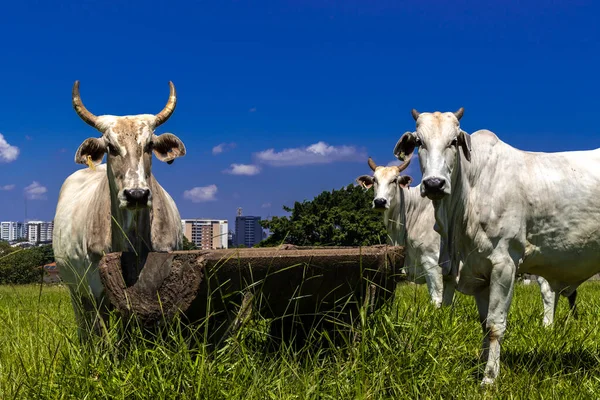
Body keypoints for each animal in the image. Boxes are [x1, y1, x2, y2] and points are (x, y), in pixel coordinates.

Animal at [53, 80, 186, 338]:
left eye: (149, 145)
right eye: (111, 147)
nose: (136, 195)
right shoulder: (96, 286)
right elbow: (102, 331)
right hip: (75, 289)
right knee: (85, 325)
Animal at [394, 108, 600, 386]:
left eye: (453, 141)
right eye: (419, 143)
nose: (434, 184)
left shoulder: (504, 264)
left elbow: (494, 325)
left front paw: (489, 379)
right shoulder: (480, 274)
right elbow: (483, 324)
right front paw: (481, 366)